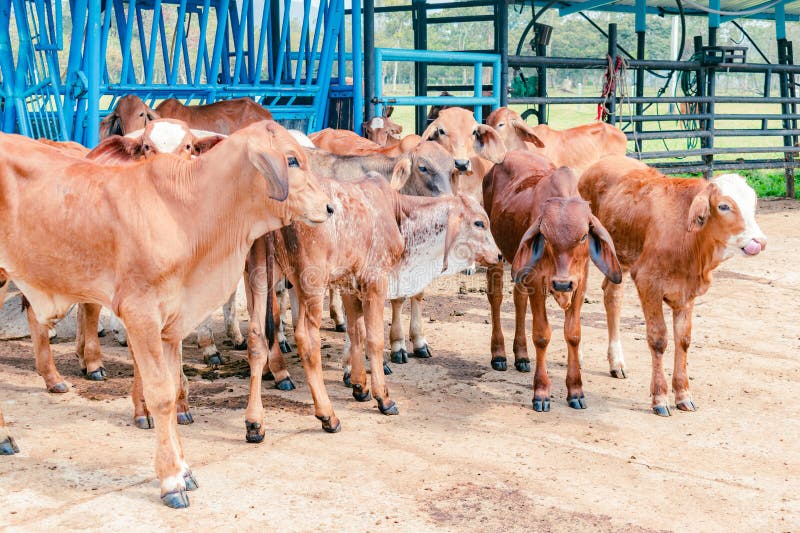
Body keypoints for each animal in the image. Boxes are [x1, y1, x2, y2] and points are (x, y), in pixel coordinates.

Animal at [0, 120, 332, 507]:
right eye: (292, 160)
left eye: (190, 146)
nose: (330, 207)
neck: (186, 210)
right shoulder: (141, 314)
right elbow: (159, 394)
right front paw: (171, 479)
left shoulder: (172, 324)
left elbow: (174, 390)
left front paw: (185, 470)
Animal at [241, 175, 501, 442]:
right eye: (479, 223)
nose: (500, 256)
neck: (399, 215)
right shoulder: (376, 281)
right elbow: (374, 339)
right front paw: (383, 398)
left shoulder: (349, 284)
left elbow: (357, 332)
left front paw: (360, 386)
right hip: (310, 284)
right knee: (307, 341)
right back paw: (328, 415)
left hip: (258, 276)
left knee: (257, 338)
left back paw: (255, 423)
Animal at [484, 151, 622, 411]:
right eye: (546, 237)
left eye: (584, 236)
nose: (561, 284)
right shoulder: (538, 282)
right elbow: (541, 335)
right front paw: (541, 393)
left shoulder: (580, 283)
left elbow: (573, 334)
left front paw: (576, 391)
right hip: (495, 252)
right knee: (495, 298)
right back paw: (499, 354)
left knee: (519, 299)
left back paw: (522, 356)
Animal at [579, 156, 767, 416]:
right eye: (724, 206)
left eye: (752, 203)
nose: (759, 241)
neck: (689, 240)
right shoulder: (648, 283)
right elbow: (658, 339)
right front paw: (659, 397)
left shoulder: (687, 292)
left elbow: (683, 340)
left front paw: (683, 394)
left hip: (618, 259)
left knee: (612, 296)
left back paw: (617, 362)